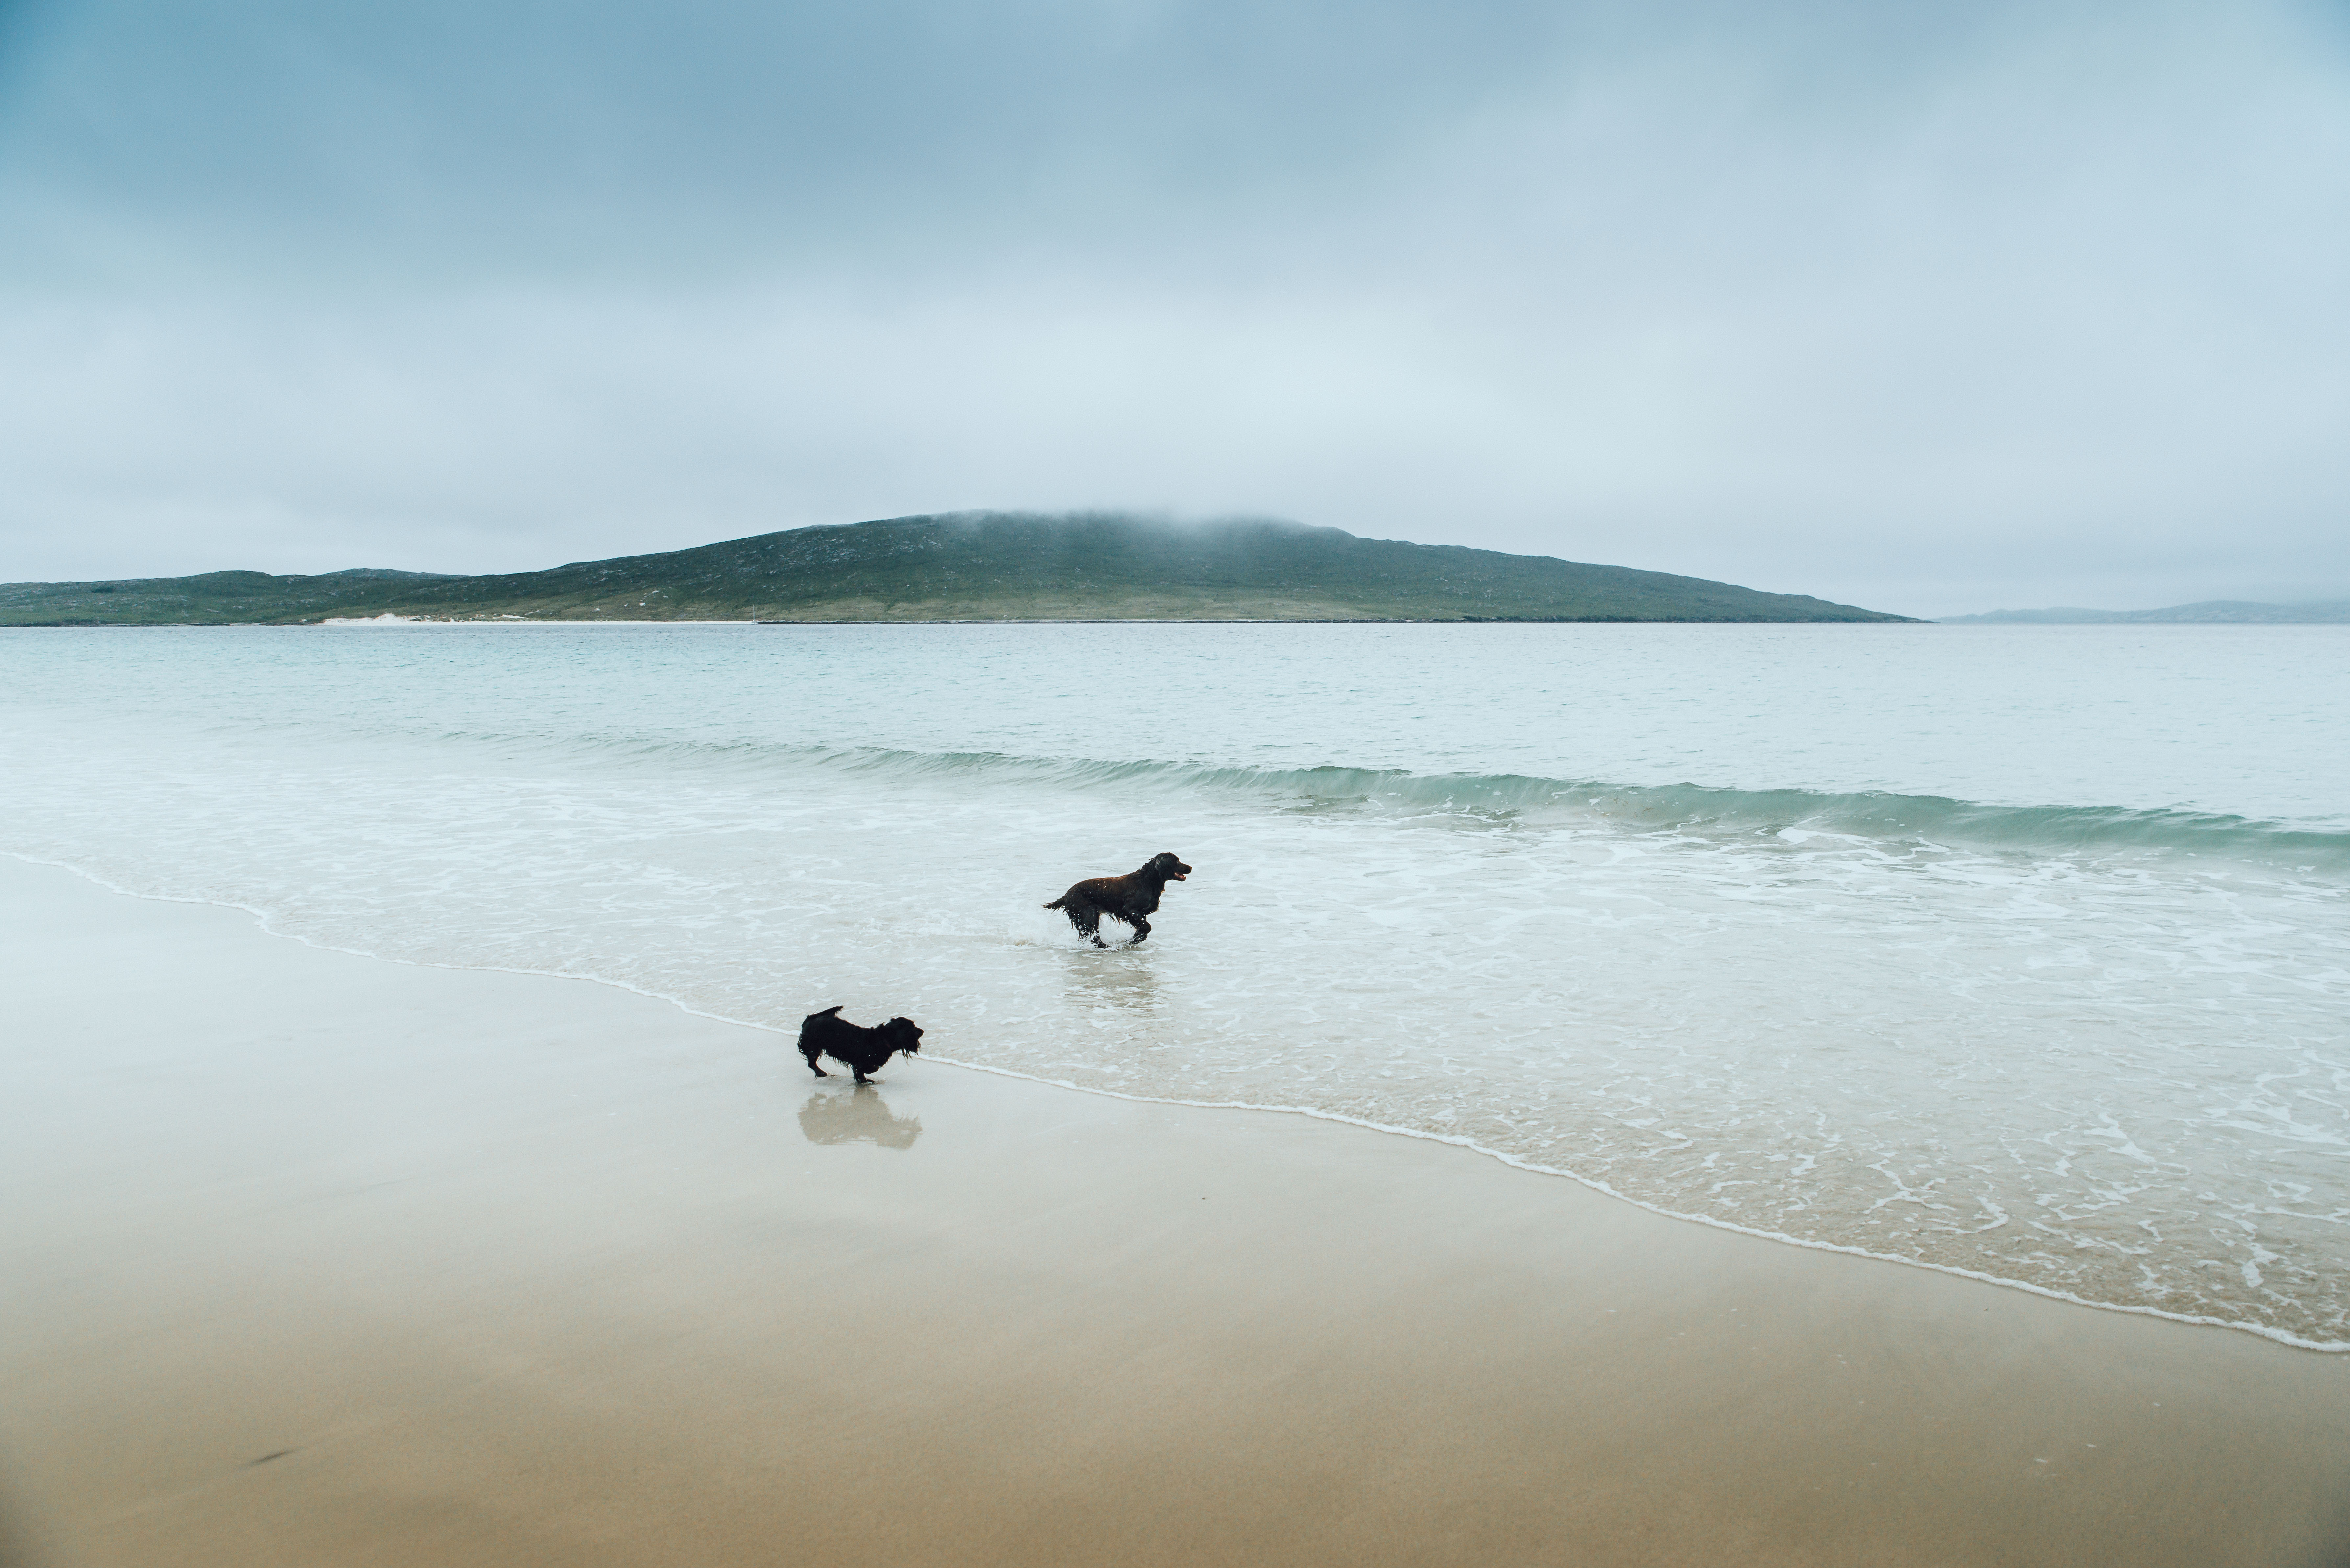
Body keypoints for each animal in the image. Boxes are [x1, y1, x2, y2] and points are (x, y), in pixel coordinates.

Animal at [799, 1011, 926, 1086]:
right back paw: (821, 1073)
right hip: (813, 1048)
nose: (923, 1031)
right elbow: (869, 1069)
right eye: (913, 1027)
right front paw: (865, 1080)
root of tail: (810, 1018)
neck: (883, 1038)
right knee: (812, 1064)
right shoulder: (860, 1062)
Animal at [1048, 851, 1194, 949]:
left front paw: (1134, 940)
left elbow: (1144, 930)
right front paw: (1129, 942)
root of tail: (1066, 896)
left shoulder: (1142, 914)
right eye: (1176, 861)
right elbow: (1147, 928)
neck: (1147, 880)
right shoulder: (1129, 911)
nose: (1191, 868)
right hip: (1089, 916)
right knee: (1095, 939)